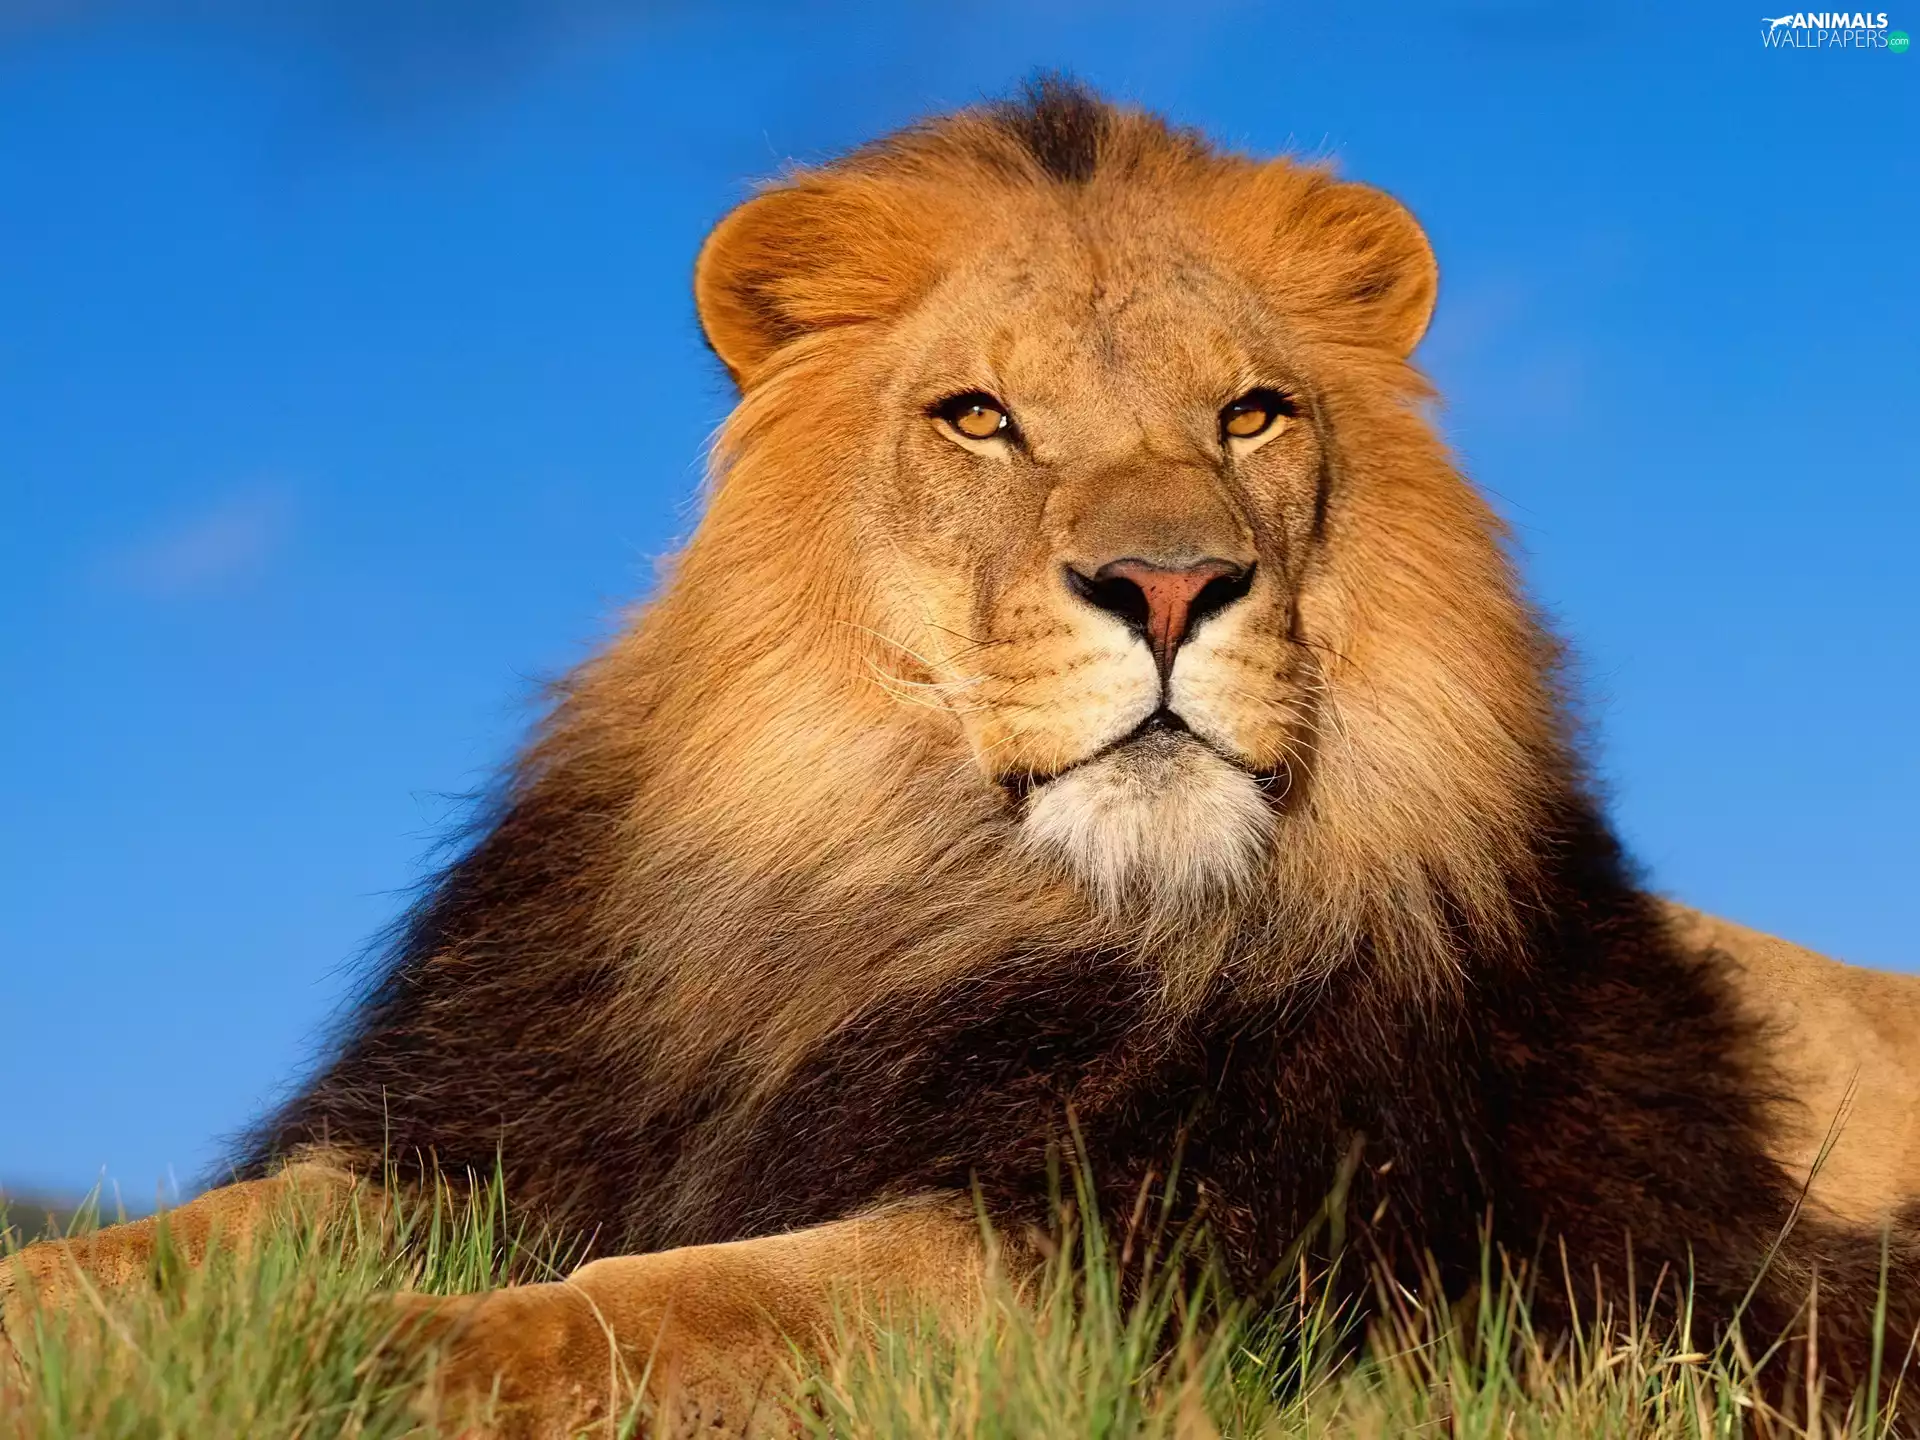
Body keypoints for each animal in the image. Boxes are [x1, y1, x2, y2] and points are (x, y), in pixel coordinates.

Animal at [6, 78, 1919, 1437]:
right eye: (980, 418)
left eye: (1253, 414)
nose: (1172, 584)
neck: (908, 895)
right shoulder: (481, 1131)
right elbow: (193, 1240)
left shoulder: (1144, 1255)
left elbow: (664, 1307)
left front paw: (376, 1361)